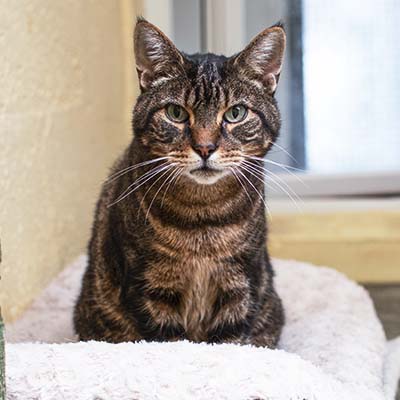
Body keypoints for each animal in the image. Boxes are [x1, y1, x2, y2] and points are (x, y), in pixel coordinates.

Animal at [73, 18, 286, 346]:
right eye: (176, 113)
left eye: (235, 113)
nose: (205, 148)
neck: (203, 217)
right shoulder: (150, 287)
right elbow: (173, 344)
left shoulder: (239, 285)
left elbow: (232, 342)